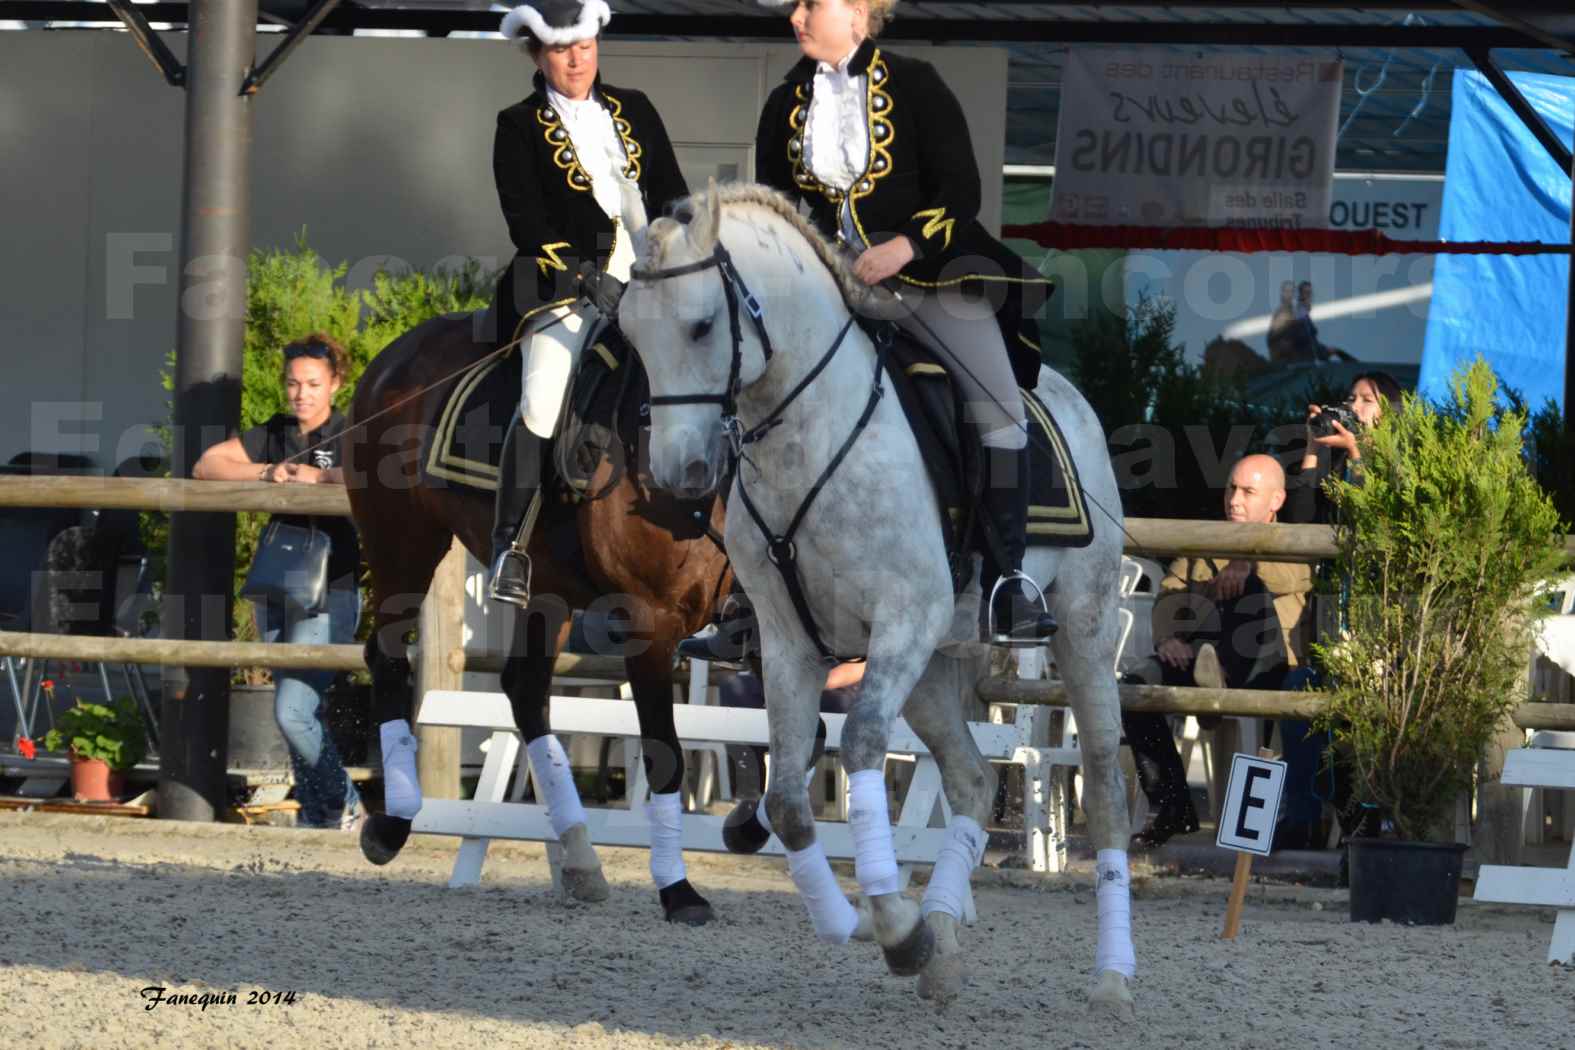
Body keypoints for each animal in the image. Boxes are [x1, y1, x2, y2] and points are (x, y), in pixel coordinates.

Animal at [341, 310, 727, 919]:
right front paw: (679, 891)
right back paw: (394, 823)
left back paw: (580, 856)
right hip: (403, 541)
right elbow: (665, 751)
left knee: (525, 690)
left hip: (545, 586)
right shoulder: (651, 619)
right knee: (387, 659)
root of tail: (394, 355)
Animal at [611, 184, 1134, 1013]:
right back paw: (943, 947)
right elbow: (786, 799)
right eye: (630, 331)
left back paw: (1111, 978)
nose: (677, 473)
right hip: (935, 663)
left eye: (698, 325)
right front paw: (863, 924)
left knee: (1106, 786)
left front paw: (895, 927)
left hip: (1079, 632)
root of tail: (1067, 397)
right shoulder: (788, 641)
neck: (808, 436)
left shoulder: (899, 623)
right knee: (972, 779)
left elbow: (855, 746)